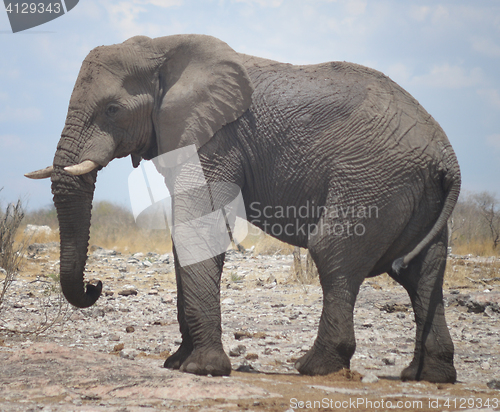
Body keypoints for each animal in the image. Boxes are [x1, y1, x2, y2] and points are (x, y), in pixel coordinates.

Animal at [24, 34, 460, 384]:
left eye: (112, 109)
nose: (95, 285)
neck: (161, 49)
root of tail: (447, 157)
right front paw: (176, 363)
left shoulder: (217, 140)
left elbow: (198, 228)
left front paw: (202, 370)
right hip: (415, 192)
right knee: (423, 272)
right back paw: (425, 376)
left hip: (370, 179)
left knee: (333, 253)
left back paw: (313, 368)